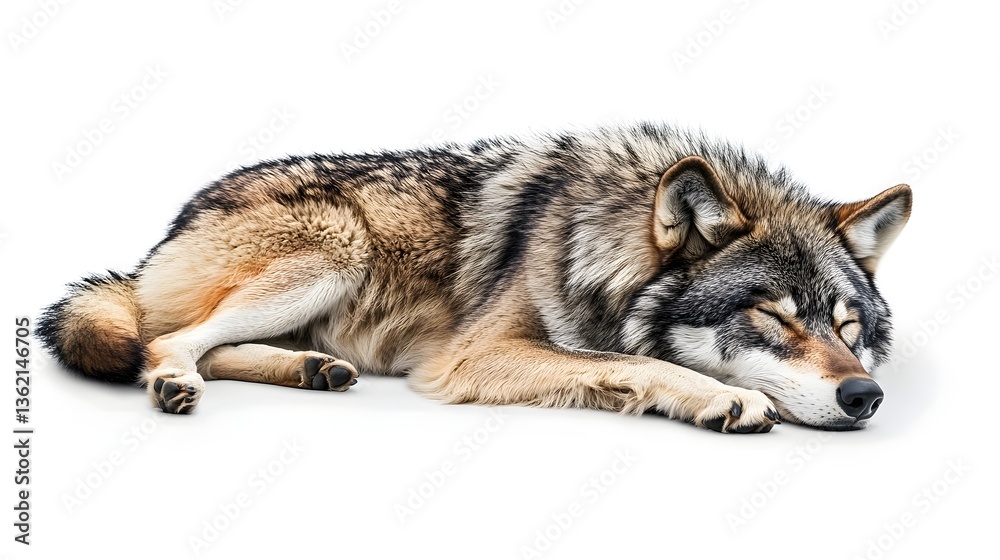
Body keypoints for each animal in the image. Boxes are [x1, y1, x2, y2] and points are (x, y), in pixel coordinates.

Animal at [37, 123, 911, 433]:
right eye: (774, 317)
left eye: (848, 327)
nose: (865, 396)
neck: (598, 239)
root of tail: (170, 228)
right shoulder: (477, 353)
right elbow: (634, 361)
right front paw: (725, 397)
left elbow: (620, 360)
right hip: (334, 253)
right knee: (170, 340)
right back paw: (174, 382)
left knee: (210, 344)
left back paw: (316, 368)